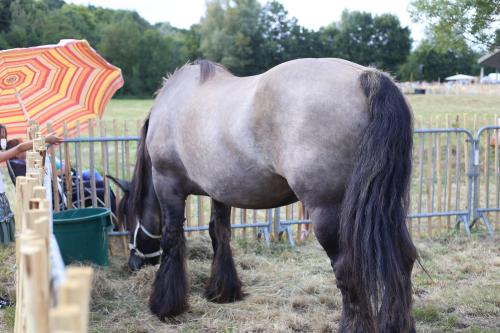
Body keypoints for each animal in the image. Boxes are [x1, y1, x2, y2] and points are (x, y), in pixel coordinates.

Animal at [110, 58, 418, 330]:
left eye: (128, 217)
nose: (133, 263)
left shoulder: (168, 185)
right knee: (403, 259)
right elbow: (219, 233)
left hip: (328, 212)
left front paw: (165, 305)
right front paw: (222, 291)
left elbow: (172, 239)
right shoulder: (220, 190)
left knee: (348, 269)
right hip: (385, 210)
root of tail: (366, 76)